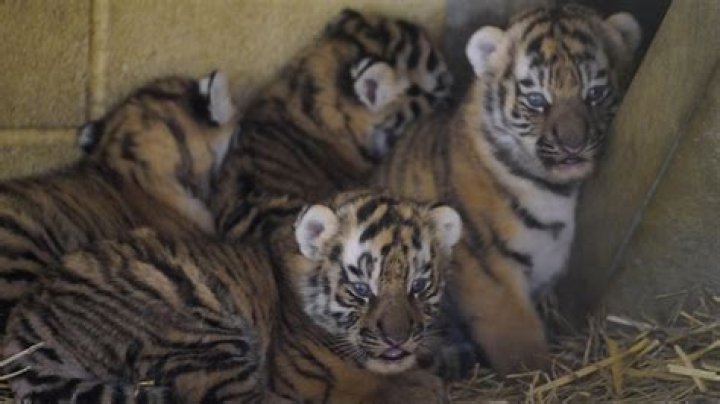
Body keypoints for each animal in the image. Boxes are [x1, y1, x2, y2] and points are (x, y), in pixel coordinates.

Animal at [2, 191, 462, 403]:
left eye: (419, 286)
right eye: (362, 289)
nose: (397, 340)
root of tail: (25, 323)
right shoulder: (309, 381)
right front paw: (423, 385)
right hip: (201, 332)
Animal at [375, 4, 642, 375]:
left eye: (595, 94)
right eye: (537, 100)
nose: (573, 146)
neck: (557, 188)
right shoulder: (485, 263)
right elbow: (514, 330)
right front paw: (537, 372)